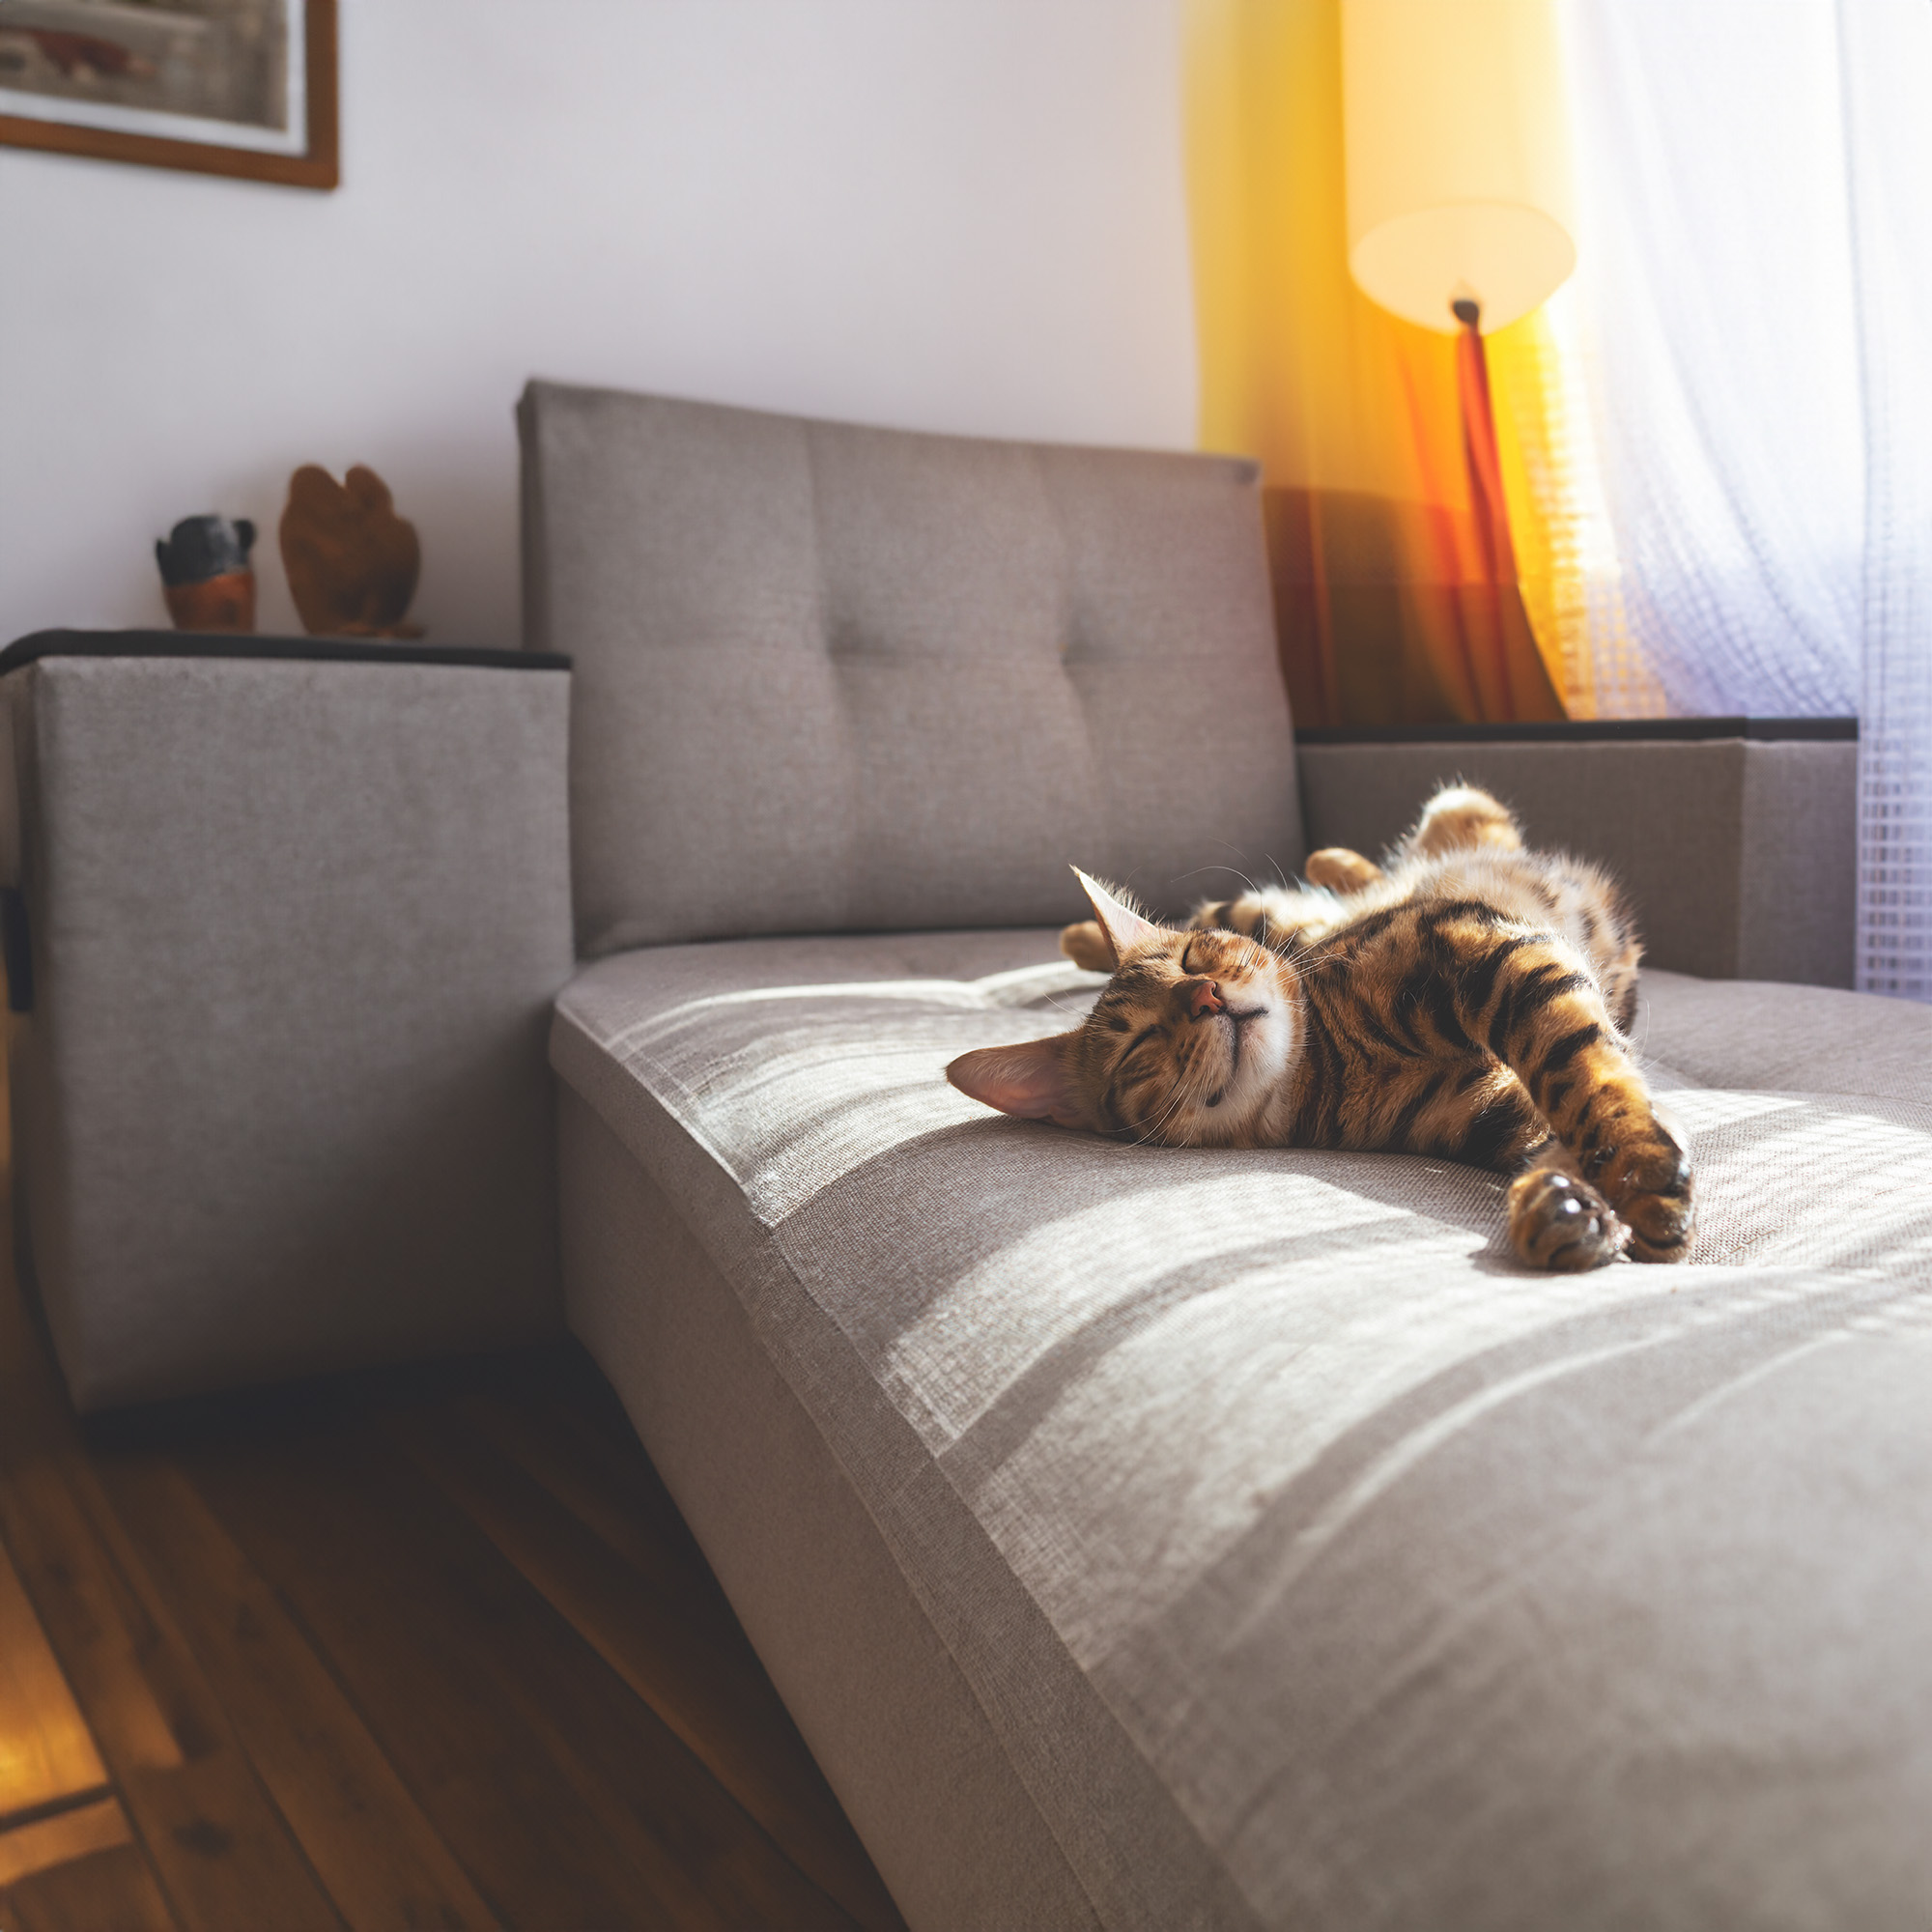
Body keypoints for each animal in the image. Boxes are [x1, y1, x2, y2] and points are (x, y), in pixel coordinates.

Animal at [951, 784, 1692, 1267]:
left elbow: (1582, 1071)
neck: (1332, 1063)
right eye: (1139, 1044)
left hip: (1408, 842)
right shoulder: (1495, 1109)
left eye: (1193, 959)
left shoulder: (1477, 941)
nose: (1205, 996)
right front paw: (1568, 1208)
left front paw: (1635, 1176)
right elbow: (1562, 1116)